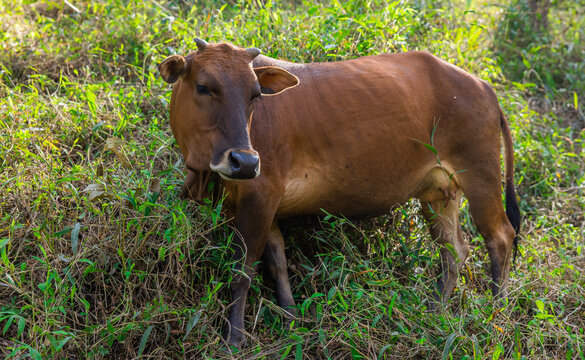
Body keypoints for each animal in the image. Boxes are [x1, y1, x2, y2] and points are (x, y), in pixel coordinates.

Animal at [157, 38, 516, 348]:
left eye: (255, 95)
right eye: (203, 86)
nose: (244, 162)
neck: (203, 170)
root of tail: (484, 87)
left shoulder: (260, 195)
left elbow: (242, 271)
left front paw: (234, 337)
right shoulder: (264, 204)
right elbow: (277, 261)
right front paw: (291, 319)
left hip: (480, 176)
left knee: (500, 237)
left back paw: (494, 313)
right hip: (437, 193)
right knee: (454, 250)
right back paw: (436, 310)